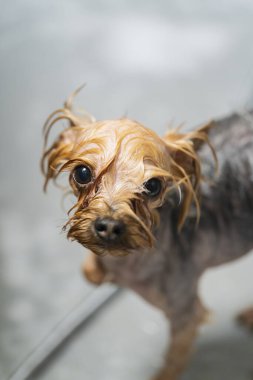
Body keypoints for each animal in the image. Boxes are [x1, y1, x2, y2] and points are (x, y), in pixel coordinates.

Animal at [41, 90, 253, 378]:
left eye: (153, 186)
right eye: (82, 173)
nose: (109, 225)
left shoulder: (186, 316)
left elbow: (172, 364)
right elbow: (90, 272)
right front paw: (98, 271)